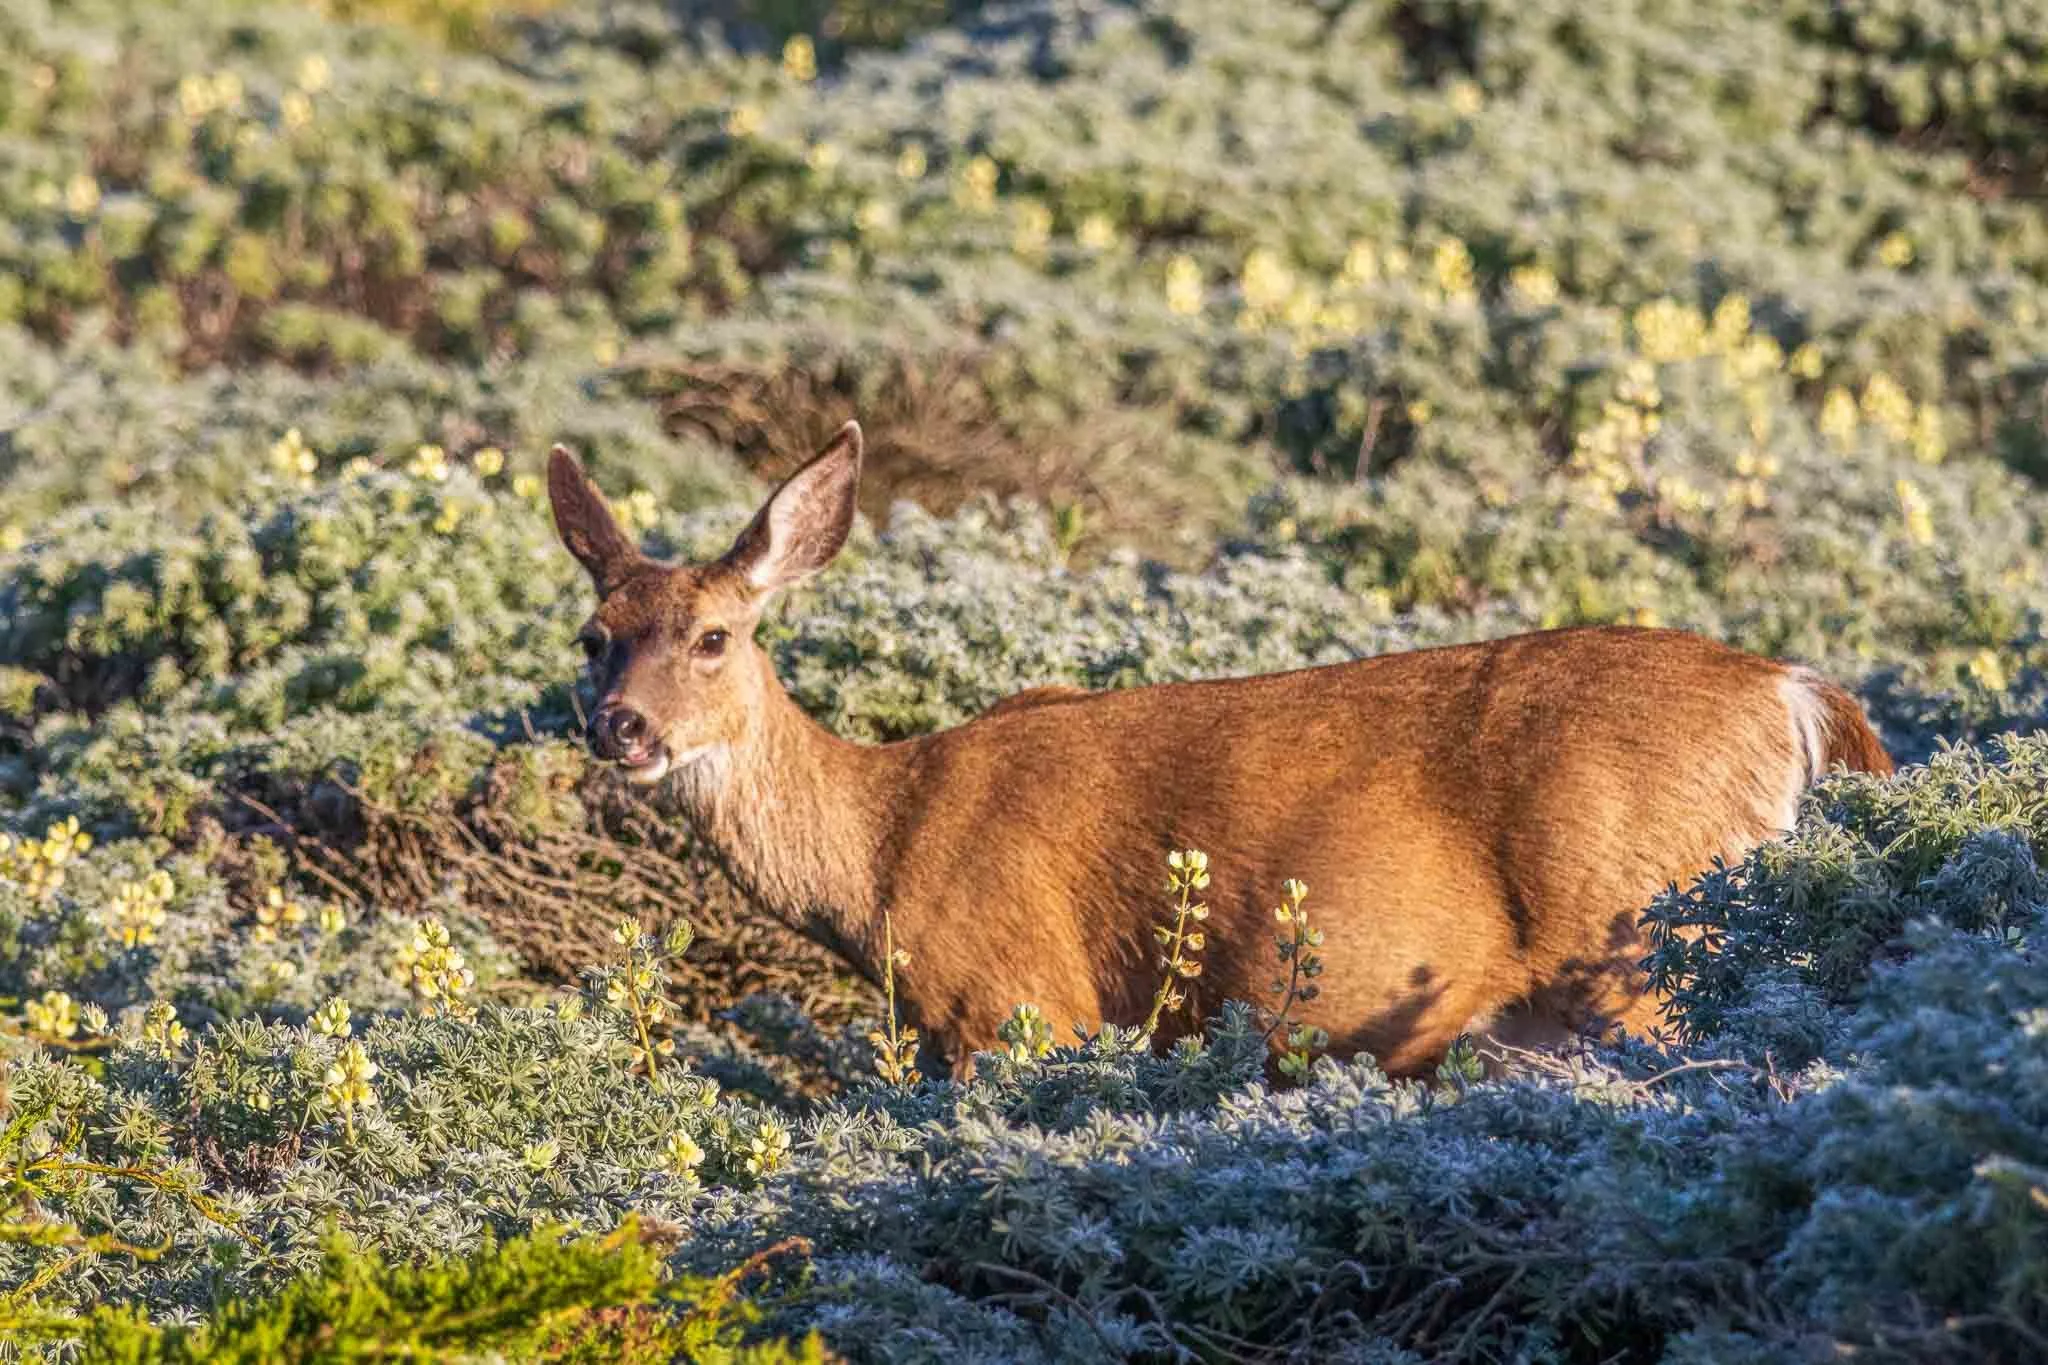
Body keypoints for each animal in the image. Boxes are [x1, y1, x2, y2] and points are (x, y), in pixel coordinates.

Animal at [546, 421, 1894, 1079]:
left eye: (714, 636)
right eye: (592, 636)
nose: (622, 728)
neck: (885, 846)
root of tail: (1790, 692)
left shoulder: (1018, 999)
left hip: (1648, 942)